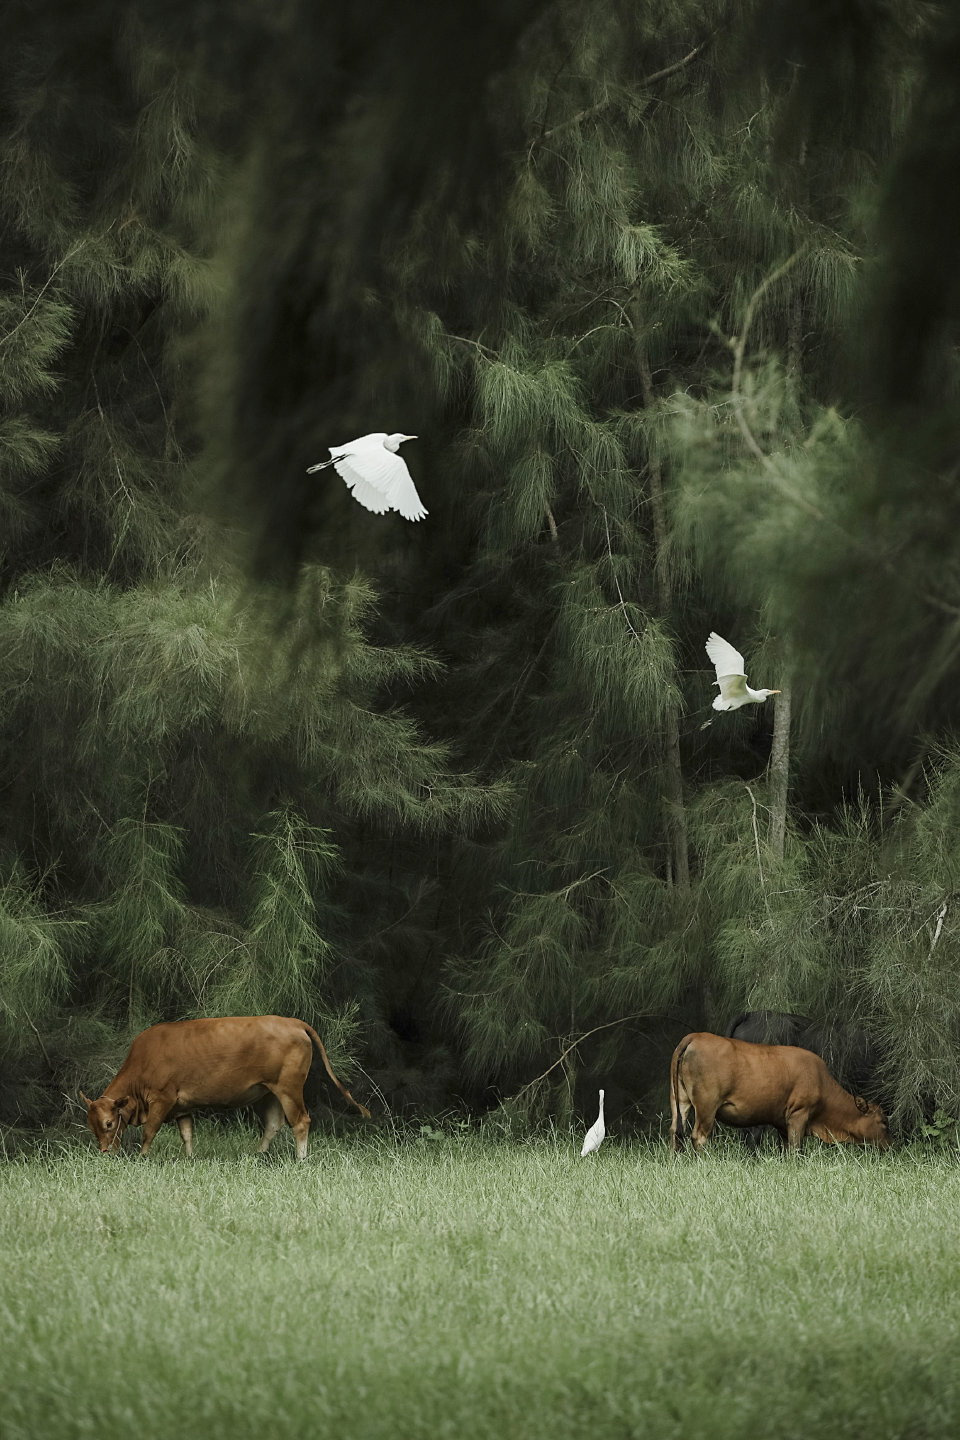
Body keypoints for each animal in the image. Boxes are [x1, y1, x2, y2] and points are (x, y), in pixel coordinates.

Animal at [81, 1013, 371, 1157]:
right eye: (92, 1126)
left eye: (109, 1123)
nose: (104, 1151)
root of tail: (293, 1022)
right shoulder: (182, 1106)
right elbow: (187, 1133)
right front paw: (190, 1158)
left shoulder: (162, 1099)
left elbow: (149, 1132)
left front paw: (143, 1158)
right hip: (271, 1090)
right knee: (274, 1124)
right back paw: (257, 1155)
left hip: (289, 1088)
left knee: (301, 1122)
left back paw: (300, 1159)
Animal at [673, 1031, 892, 1152]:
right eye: (883, 1122)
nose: (891, 1145)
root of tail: (696, 1036)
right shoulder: (799, 1114)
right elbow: (795, 1150)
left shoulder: (782, 1123)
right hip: (707, 1105)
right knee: (699, 1136)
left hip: (680, 1100)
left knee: (675, 1131)